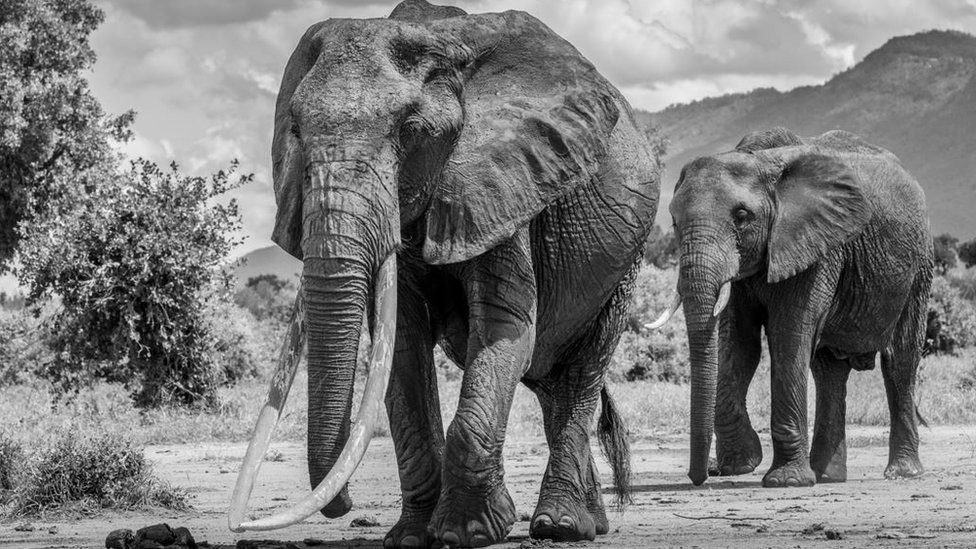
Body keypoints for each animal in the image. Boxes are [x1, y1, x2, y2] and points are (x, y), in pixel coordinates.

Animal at [228, 1, 659, 547]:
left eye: (410, 130)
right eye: (297, 131)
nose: (343, 505)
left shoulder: (503, 186)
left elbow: (504, 330)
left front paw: (468, 532)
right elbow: (402, 348)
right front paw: (411, 537)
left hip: (627, 262)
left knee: (582, 369)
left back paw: (561, 526)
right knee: (550, 382)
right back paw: (586, 522)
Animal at [649, 127, 931, 488]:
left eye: (741, 217)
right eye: (673, 221)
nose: (700, 476)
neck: (758, 161)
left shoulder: (817, 245)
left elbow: (788, 337)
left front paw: (784, 481)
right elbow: (740, 344)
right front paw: (744, 462)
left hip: (919, 266)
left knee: (900, 361)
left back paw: (901, 473)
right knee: (828, 370)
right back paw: (826, 477)